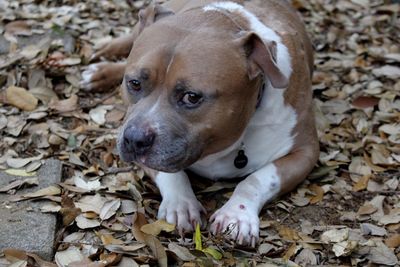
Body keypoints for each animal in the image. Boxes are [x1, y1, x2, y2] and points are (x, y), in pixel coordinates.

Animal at [80, 0, 318, 247]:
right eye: (134, 83)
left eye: (192, 97)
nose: (134, 140)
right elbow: (171, 173)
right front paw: (181, 205)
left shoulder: (305, 152)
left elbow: (258, 178)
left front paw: (237, 214)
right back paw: (102, 64)